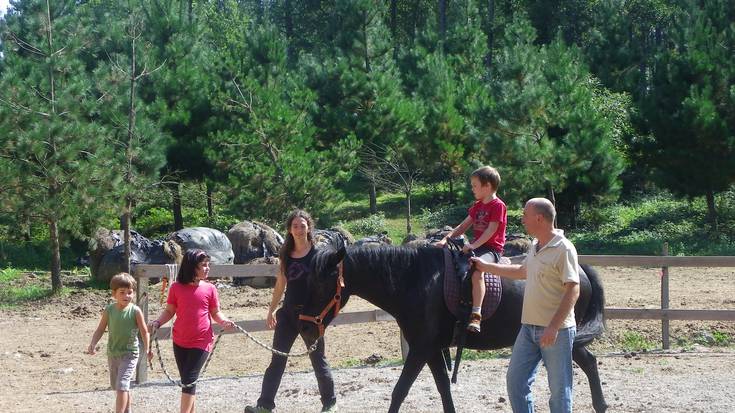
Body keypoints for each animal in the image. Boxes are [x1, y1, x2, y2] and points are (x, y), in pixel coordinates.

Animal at [300, 245, 608, 412]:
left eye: (320, 284)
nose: (305, 329)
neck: (415, 280)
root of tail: (579, 269)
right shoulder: (432, 350)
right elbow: (443, 388)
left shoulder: (420, 349)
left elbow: (399, 391)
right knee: (590, 362)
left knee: (587, 364)